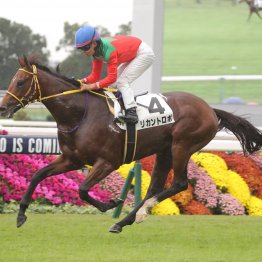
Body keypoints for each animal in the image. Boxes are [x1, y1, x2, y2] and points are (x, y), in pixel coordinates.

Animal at [0, 55, 260, 233]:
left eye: (20, 82)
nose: (3, 107)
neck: (80, 114)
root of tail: (210, 109)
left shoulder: (108, 162)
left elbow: (82, 189)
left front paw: (111, 203)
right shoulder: (71, 159)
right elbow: (37, 175)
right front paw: (21, 215)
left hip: (182, 146)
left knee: (179, 183)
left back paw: (140, 213)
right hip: (164, 150)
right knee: (154, 187)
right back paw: (124, 221)